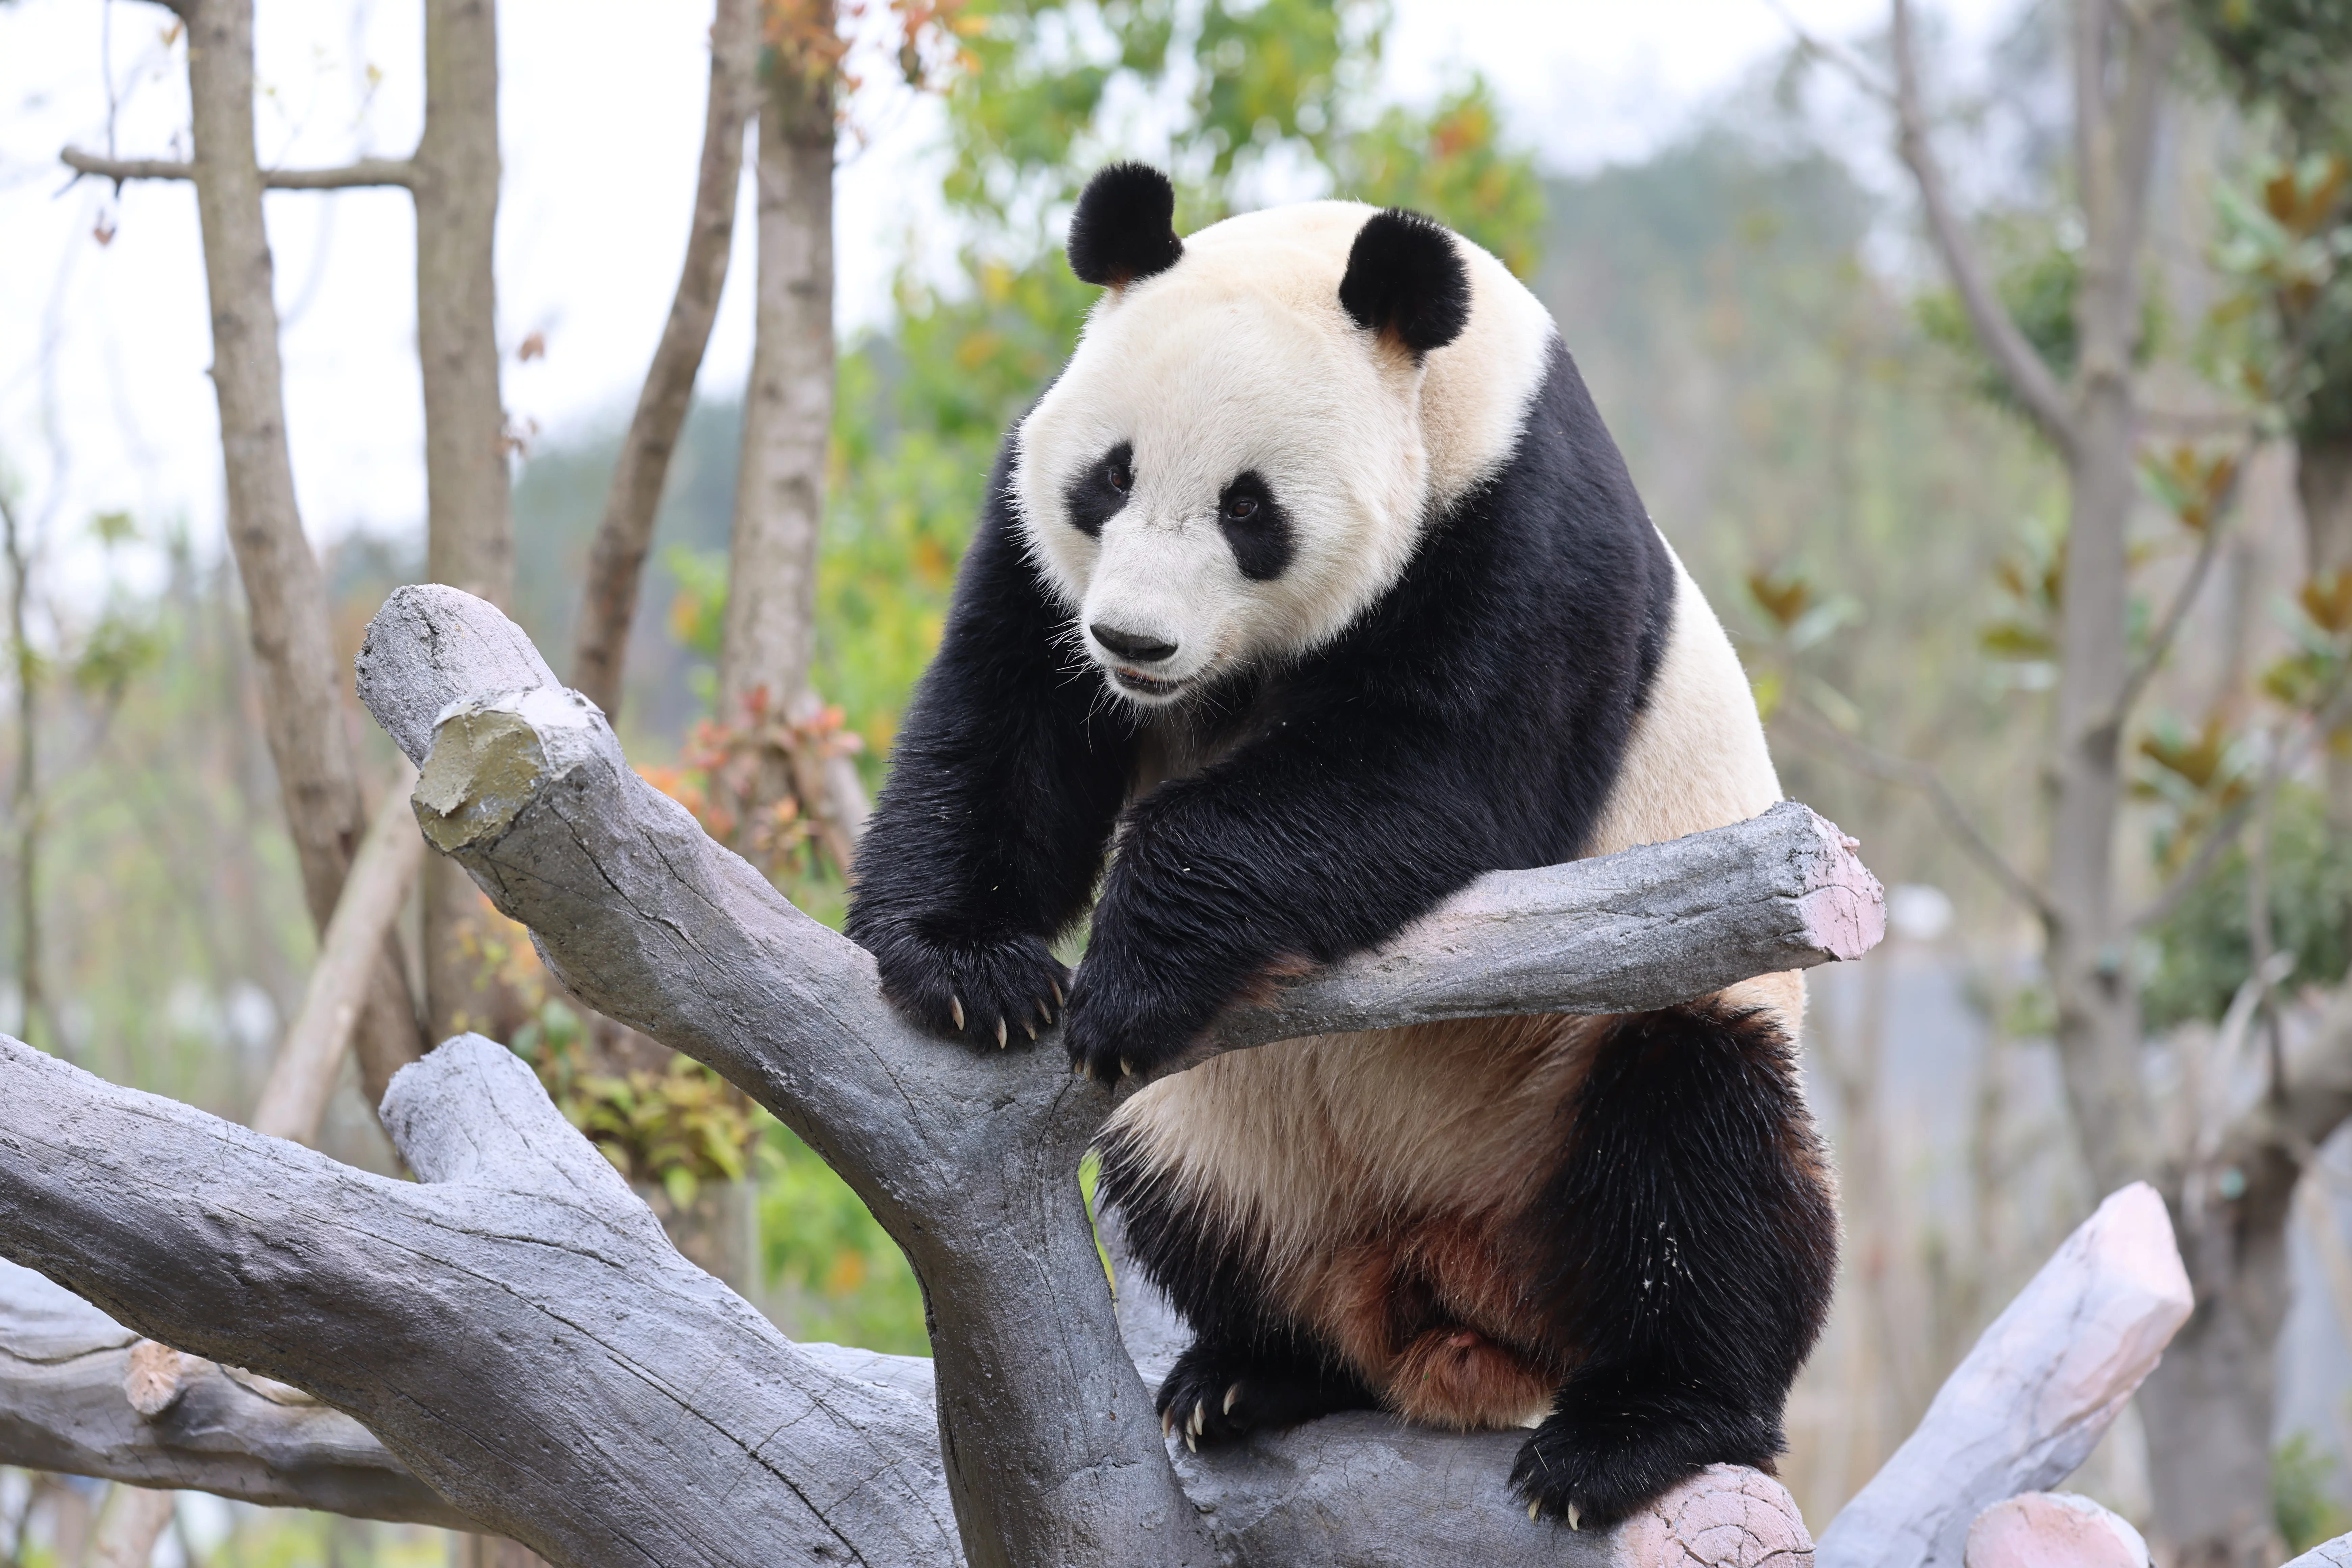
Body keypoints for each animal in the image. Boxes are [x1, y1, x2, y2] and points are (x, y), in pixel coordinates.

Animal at [845, 162, 1838, 1529]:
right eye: (1106, 479)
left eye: (1248, 508)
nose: (1134, 641)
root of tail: (1455, 1299)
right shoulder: (1034, 544)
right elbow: (1008, 715)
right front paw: (970, 970)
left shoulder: (1519, 528)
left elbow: (1440, 771)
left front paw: (1131, 969)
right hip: (1235, 1139)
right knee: (1190, 1190)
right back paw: (1253, 1374)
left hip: (1609, 1048)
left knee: (1698, 1147)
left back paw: (1636, 1429)